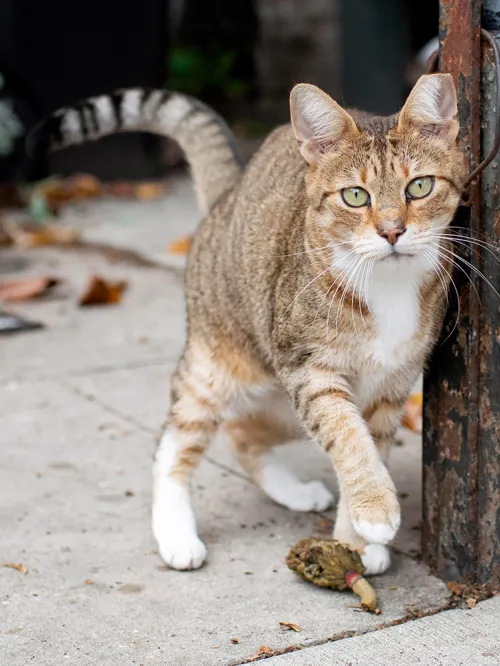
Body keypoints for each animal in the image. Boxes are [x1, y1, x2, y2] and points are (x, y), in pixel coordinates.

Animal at [32, 71, 464, 572]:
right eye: (356, 196)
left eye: (420, 187)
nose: (393, 231)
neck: (387, 282)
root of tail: (229, 194)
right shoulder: (309, 370)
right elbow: (347, 438)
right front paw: (374, 511)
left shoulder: (391, 387)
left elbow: (370, 443)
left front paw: (354, 543)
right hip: (218, 370)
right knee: (173, 444)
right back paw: (176, 532)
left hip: (281, 403)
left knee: (243, 434)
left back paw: (292, 492)